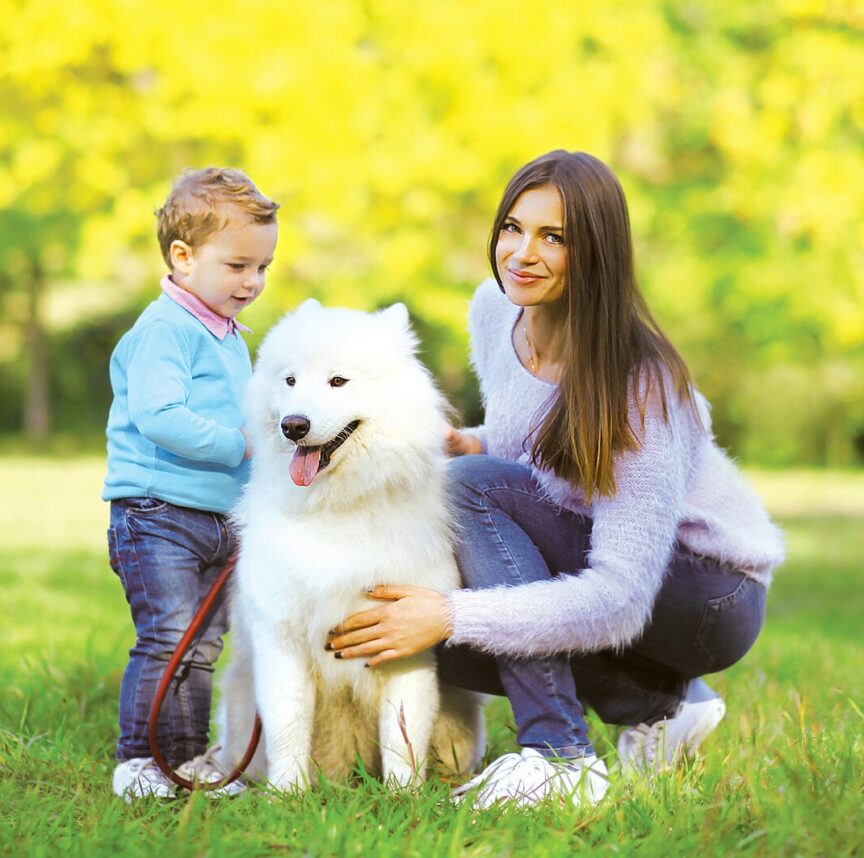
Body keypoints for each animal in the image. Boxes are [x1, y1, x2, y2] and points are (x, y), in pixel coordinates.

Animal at [216, 300, 482, 788]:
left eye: (338, 381)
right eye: (290, 380)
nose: (293, 425)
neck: (336, 507)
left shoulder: (405, 644)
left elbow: (402, 737)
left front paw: (403, 797)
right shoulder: (280, 640)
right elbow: (287, 730)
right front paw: (286, 796)